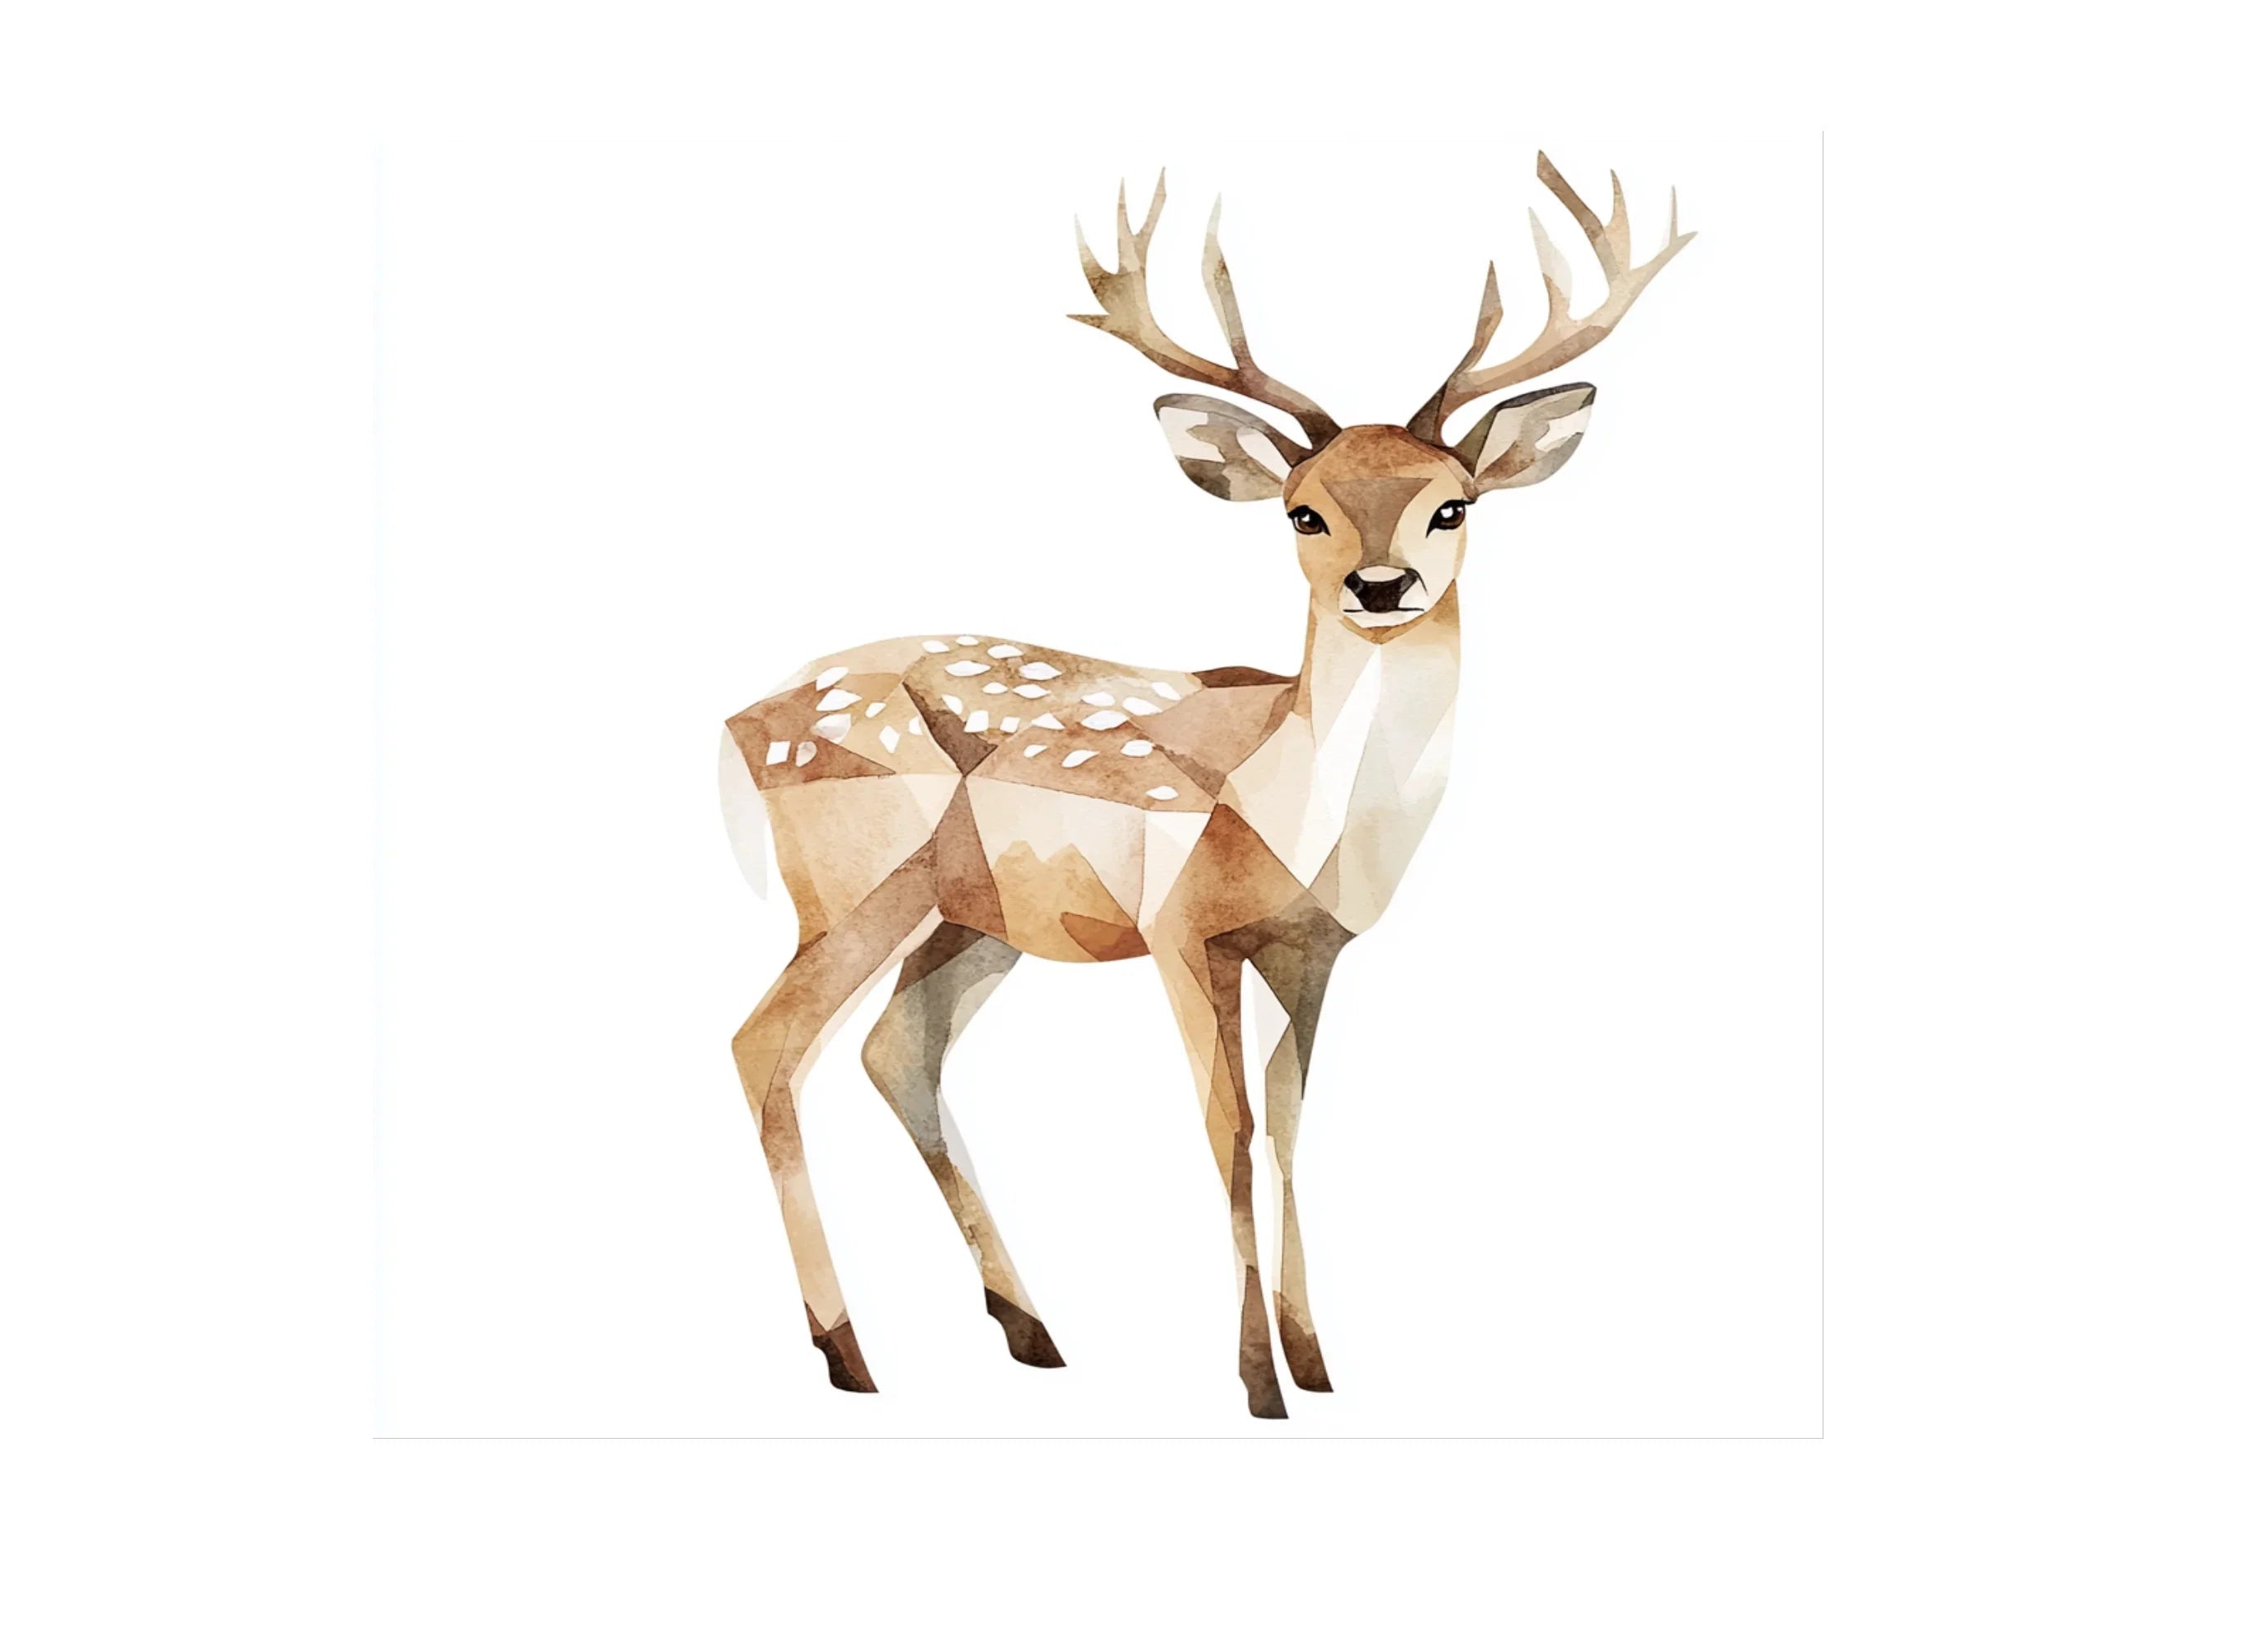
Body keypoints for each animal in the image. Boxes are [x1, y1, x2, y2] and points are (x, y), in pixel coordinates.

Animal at [718, 154, 1692, 1417]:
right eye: (1302, 510)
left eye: (1452, 503)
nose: (1382, 585)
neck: (1296, 813)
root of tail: (733, 722)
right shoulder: (1180, 930)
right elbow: (1225, 1130)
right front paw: (1254, 1381)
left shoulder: (1311, 948)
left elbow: (1285, 1124)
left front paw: (1316, 1361)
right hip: (853, 881)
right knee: (766, 1045)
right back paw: (849, 1353)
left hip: (970, 917)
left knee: (897, 1052)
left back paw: (1030, 1328)